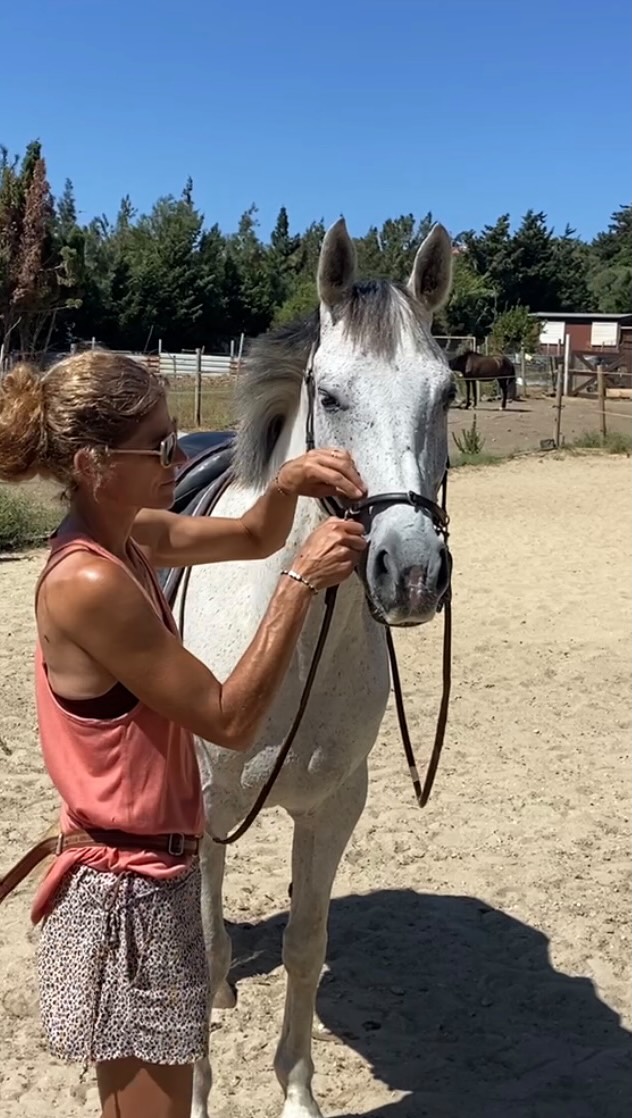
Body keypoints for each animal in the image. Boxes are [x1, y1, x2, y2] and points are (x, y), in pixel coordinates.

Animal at [172, 217, 456, 1118]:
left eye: (446, 392)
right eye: (329, 395)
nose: (411, 572)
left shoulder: (334, 806)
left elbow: (305, 943)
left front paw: (296, 1090)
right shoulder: (201, 805)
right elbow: (194, 949)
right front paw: (194, 1094)